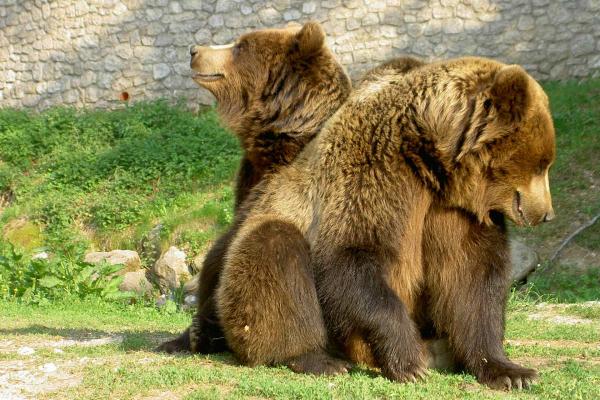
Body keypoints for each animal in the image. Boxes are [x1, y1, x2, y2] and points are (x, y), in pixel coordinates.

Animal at [214, 57, 552, 390]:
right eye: (541, 164)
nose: (547, 213)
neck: (432, 161)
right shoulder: (377, 169)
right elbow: (354, 256)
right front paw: (410, 362)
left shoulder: (454, 210)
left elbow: (473, 277)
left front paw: (511, 371)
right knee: (272, 249)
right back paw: (315, 358)